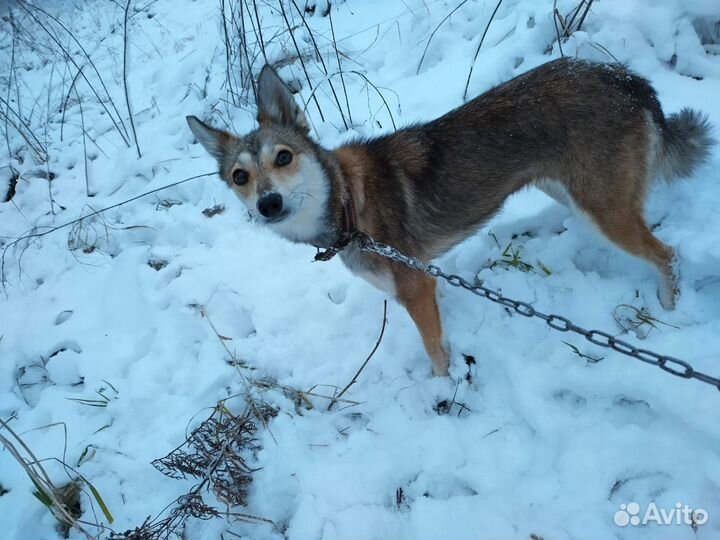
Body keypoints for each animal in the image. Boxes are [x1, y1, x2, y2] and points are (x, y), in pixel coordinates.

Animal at [187, 59, 716, 376]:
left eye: (283, 157)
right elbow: (443, 333)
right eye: (239, 176)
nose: (268, 204)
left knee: (666, 253)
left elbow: (435, 351)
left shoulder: (415, 288)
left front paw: (444, 389)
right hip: (568, 188)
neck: (347, 204)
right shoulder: (426, 278)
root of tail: (627, 79)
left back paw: (669, 307)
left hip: (603, 208)